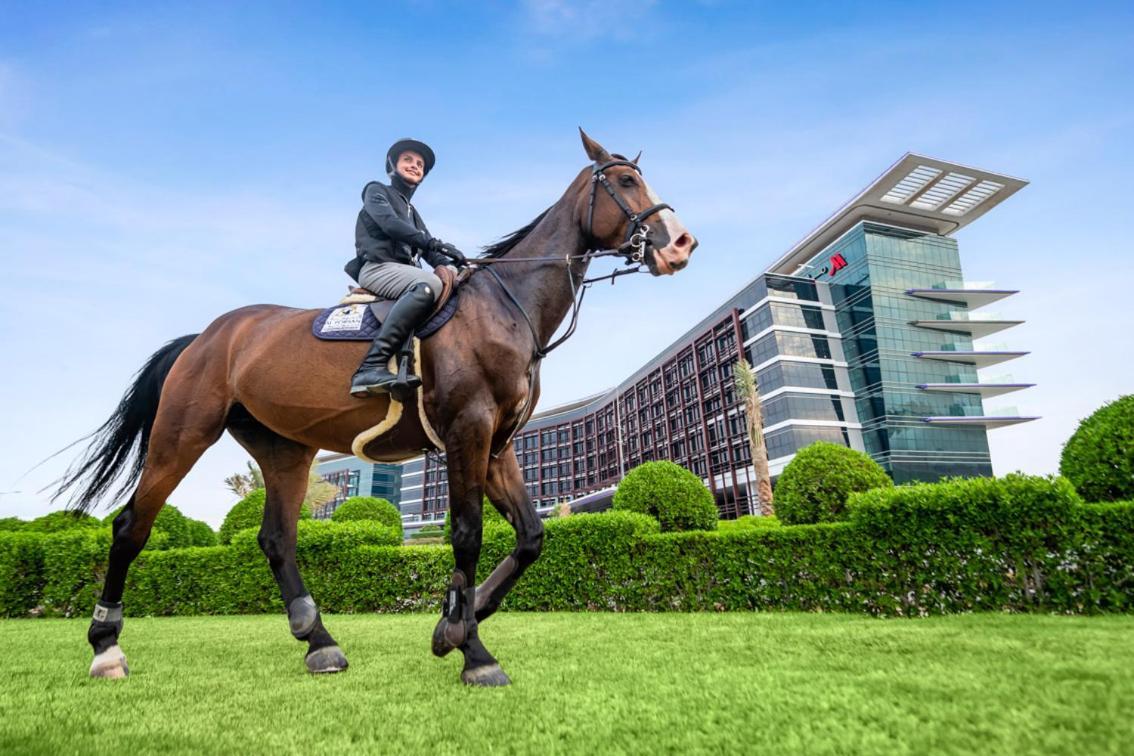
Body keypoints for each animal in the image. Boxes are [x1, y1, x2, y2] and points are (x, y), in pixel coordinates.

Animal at [59, 130, 698, 684]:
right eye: (625, 180)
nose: (681, 243)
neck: (504, 305)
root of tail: (208, 335)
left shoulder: (499, 444)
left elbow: (531, 537)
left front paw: (451, 626)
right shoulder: (468, 429)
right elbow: (467, 534)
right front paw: (473, 651)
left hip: (285, 449)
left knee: (276, 539)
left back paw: (318, 641)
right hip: (184, 434)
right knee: (132, 527)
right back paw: (106, 647)